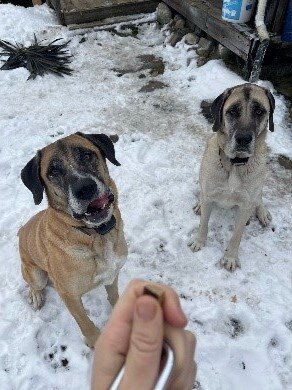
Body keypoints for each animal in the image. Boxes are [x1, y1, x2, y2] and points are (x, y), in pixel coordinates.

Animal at [18, 133, 127, 346]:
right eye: (53, 171)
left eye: (87, 155)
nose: (85, 188)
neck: (96, 236)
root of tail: (21, 230)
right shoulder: (70, 296)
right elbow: (85, 322)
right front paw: (95, 342)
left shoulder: (113, 275)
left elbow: (114, 297)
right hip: (35, 274)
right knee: (34, 284)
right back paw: (36, 296)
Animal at [188, 83, 274, 272]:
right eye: (233, 111)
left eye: (259, 111)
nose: (243, 139)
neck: (235, 165)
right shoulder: (209, 193)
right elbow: (203, 223)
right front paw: (199, 241)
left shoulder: (245, 203)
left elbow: (237, 235)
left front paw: (230, 258)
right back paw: (199, 204)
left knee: (259, 198)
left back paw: (262, 212)